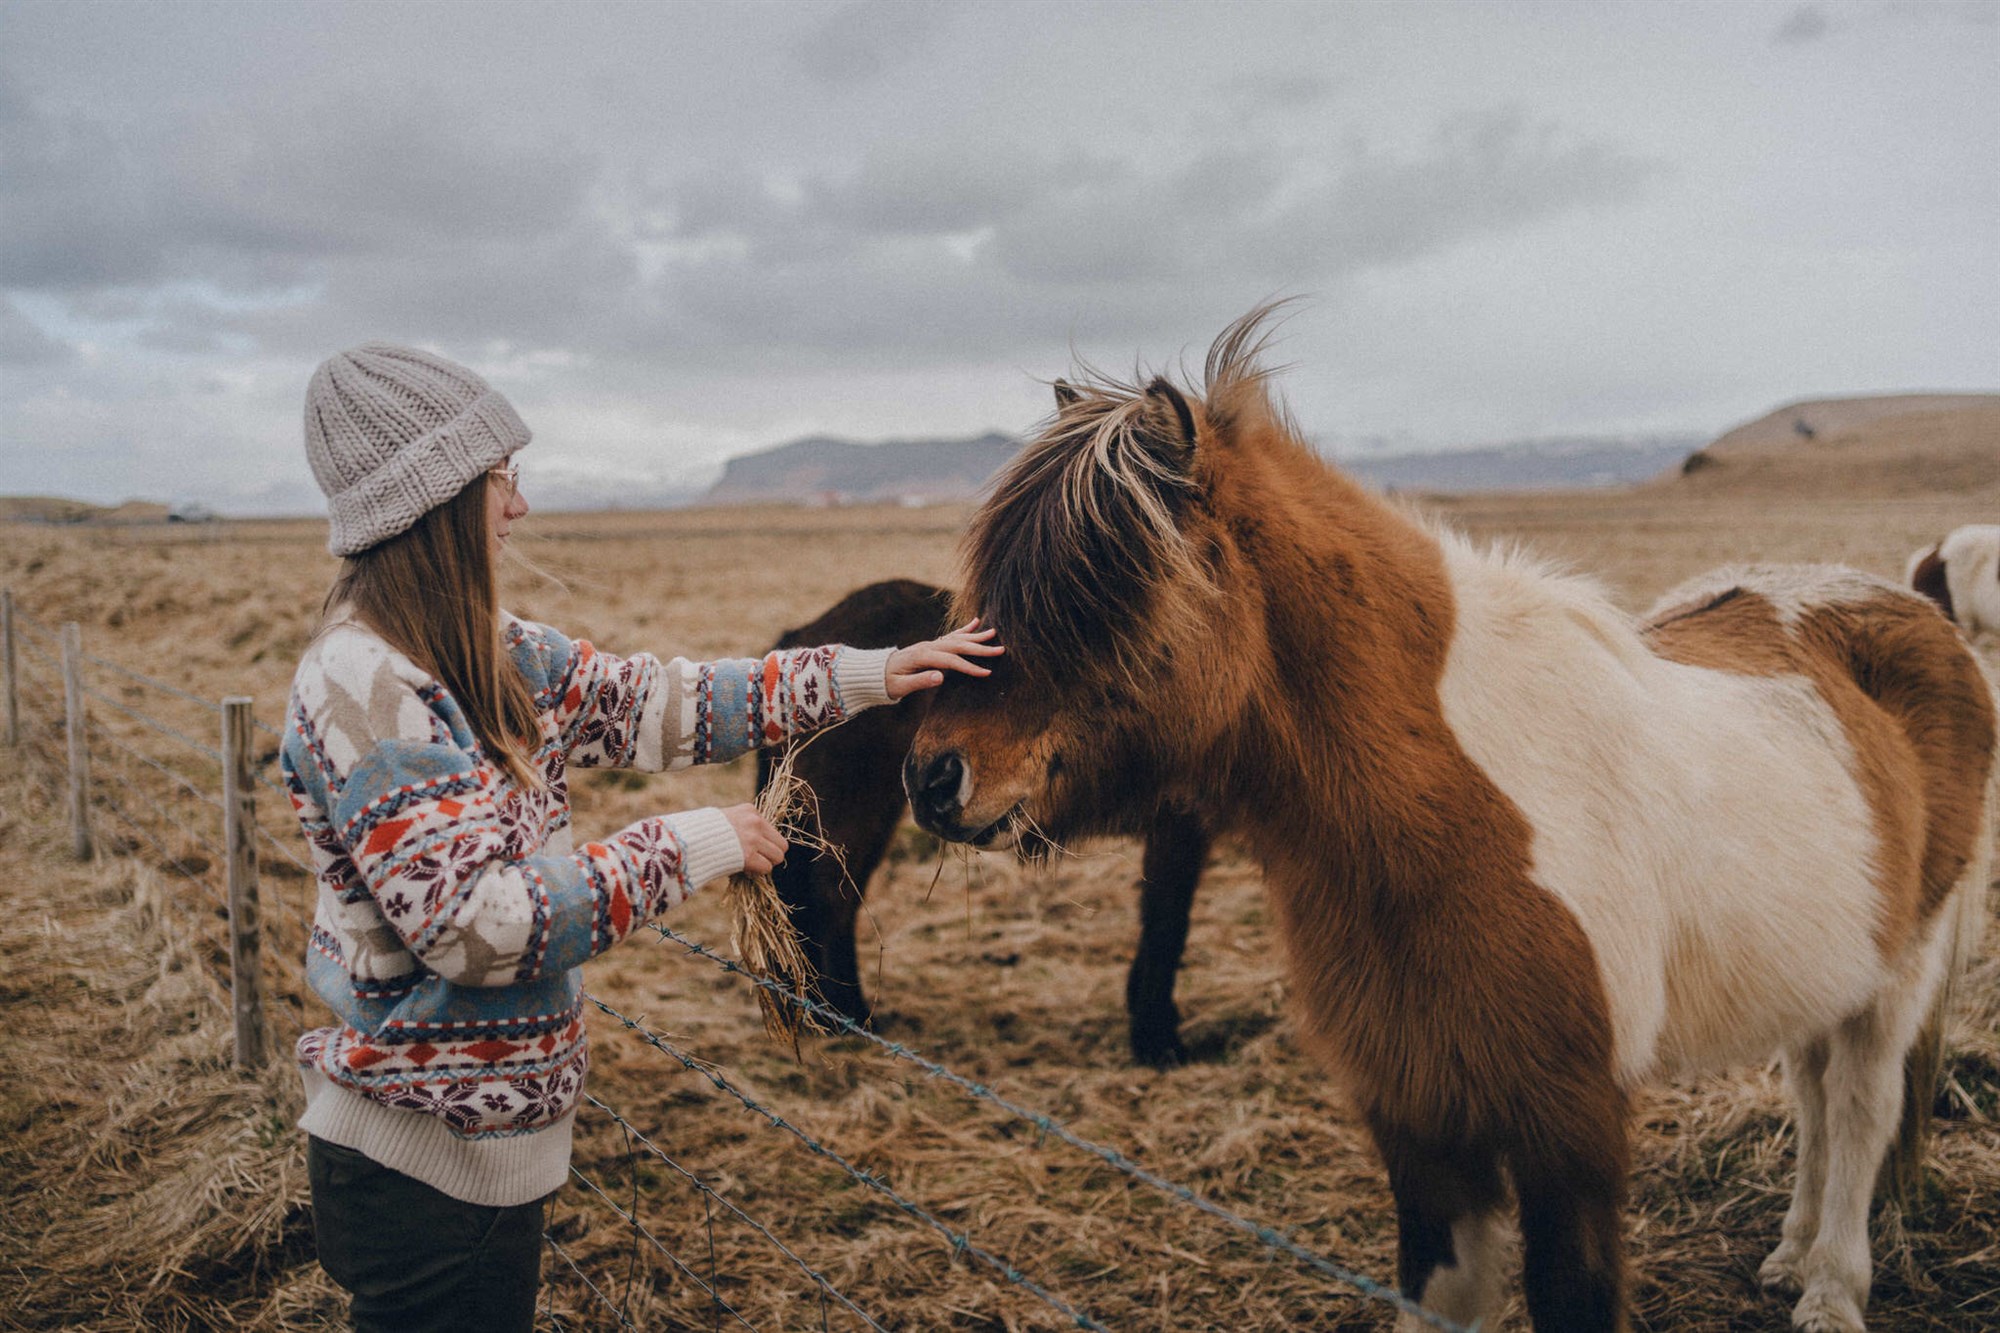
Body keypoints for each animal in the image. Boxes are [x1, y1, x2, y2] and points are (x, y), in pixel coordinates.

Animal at [758, 578, 1214, 1067]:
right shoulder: (1180, 822)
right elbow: (1167, 919)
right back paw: (849, 1016)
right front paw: (1158, 1039)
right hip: (854, 813)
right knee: (832, 899)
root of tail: (799, 638)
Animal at [900, 307, 1997, 1332]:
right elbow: (1443, 1292)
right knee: (1812, 1096)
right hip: (1823, 966)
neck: (1449, 815)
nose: (930, 775)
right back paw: (1788, 1253)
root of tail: (1913, 613)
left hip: (1896, 975)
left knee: (1857, 1110)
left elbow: (1572, 1290)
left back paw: (1829, 1288)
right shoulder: (1417, 1117)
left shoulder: (1570, 1127)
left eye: (1094, 591)